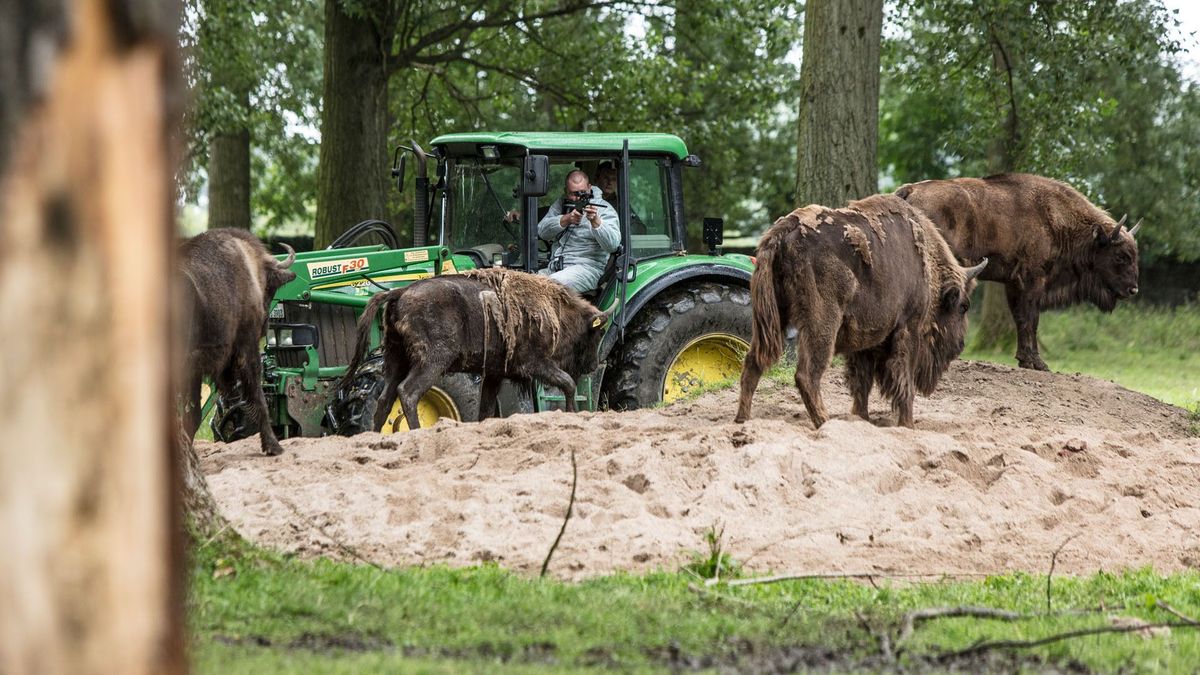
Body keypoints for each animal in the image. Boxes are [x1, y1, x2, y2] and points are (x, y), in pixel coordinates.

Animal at [177, 228, 295, 454]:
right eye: (270, 289)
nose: (265, 325)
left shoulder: (195, 368)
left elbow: (193, 415)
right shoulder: (246, 348)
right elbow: (258, 396)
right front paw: (273, 446)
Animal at [343, 265, 614, 427]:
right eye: (598, 332)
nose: (593, 366)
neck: (555, 310)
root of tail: (400, 291)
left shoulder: (494, 374)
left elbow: (485, 409)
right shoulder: (535, 364)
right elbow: (568, 383)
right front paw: (572, 413)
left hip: (395, 360)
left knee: (384, 399)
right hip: (431, 362)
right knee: (408, 393)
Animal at [734, 194, 988, 425]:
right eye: (963, 306)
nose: (960, 345)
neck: (928, 267)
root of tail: (784, 229)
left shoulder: (865, 339)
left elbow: (861, 382)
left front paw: (861, 417)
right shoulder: (908, 328)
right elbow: (904, 383)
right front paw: (907, 424)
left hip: (771, 319)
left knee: (753, 362)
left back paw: (742, 419)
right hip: (821, 324)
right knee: (807, 374)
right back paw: (824, 422)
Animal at [902, 172, 1142, 369]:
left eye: (1135, 255)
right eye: (1121, 256)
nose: (1133, 290)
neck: (1056, 220)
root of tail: (910, 190)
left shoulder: (1013, 283)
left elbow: (1020, 318)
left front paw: (1025, 359)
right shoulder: (1032, 280)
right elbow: (1030, 319)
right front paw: (1037, 363)